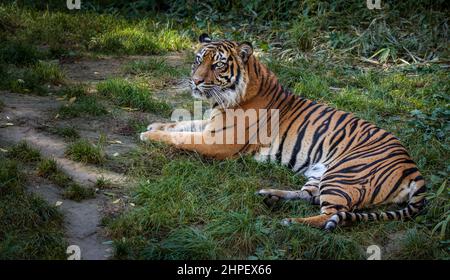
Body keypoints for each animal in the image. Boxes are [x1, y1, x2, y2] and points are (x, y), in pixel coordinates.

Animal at [140, 33, 426, 230]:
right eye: (198, 60)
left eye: (218, 65)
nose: (195, 81)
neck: (227, 99)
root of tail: (412, 166)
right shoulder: (212, 126)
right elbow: (183, 124)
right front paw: (155, 126)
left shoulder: (220, 141)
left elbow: (181, 138)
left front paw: (148, 135)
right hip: (321, 174)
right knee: (309, 196)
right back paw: (270, 196)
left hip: (344, 175)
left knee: (330, 214)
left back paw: (291, 222)